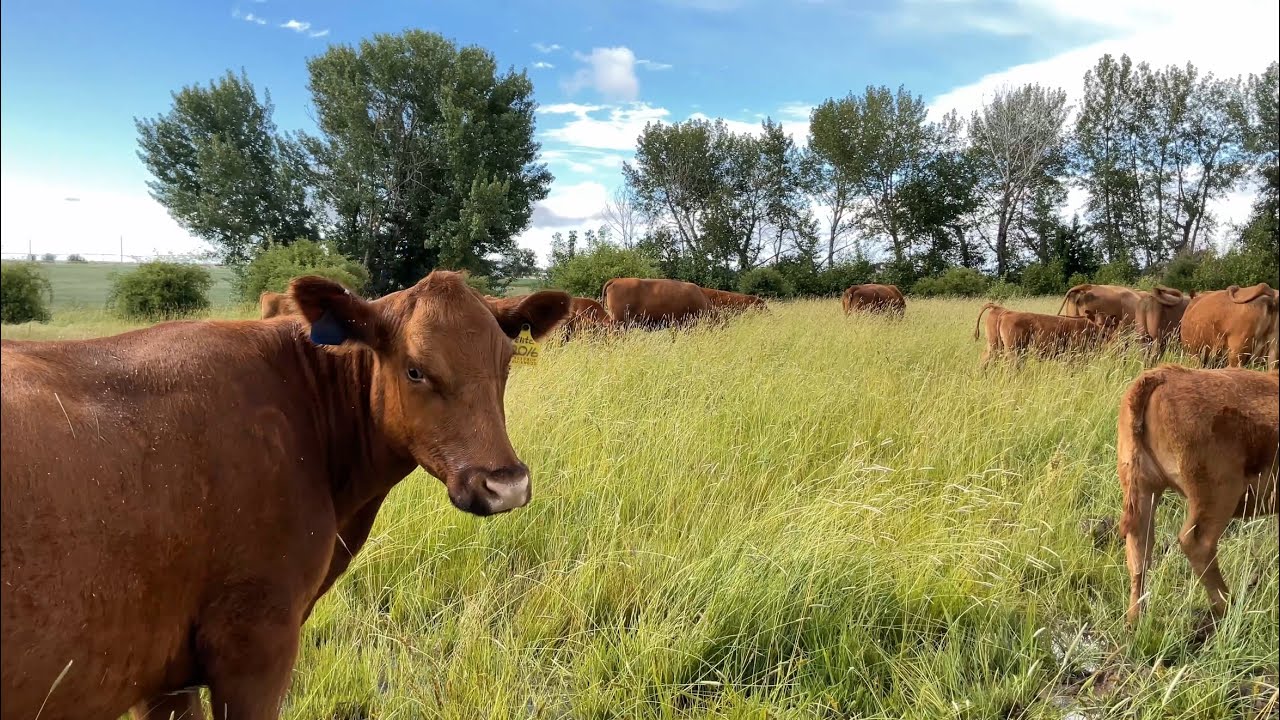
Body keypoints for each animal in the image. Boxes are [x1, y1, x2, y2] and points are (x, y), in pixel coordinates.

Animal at [1117, 364, 1279, 628]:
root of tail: (1163, 374)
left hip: (1143, 488)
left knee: (1140, 549)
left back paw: (1135, 619)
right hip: (1217, 495)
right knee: (1197, 544)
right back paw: (1230, 607)